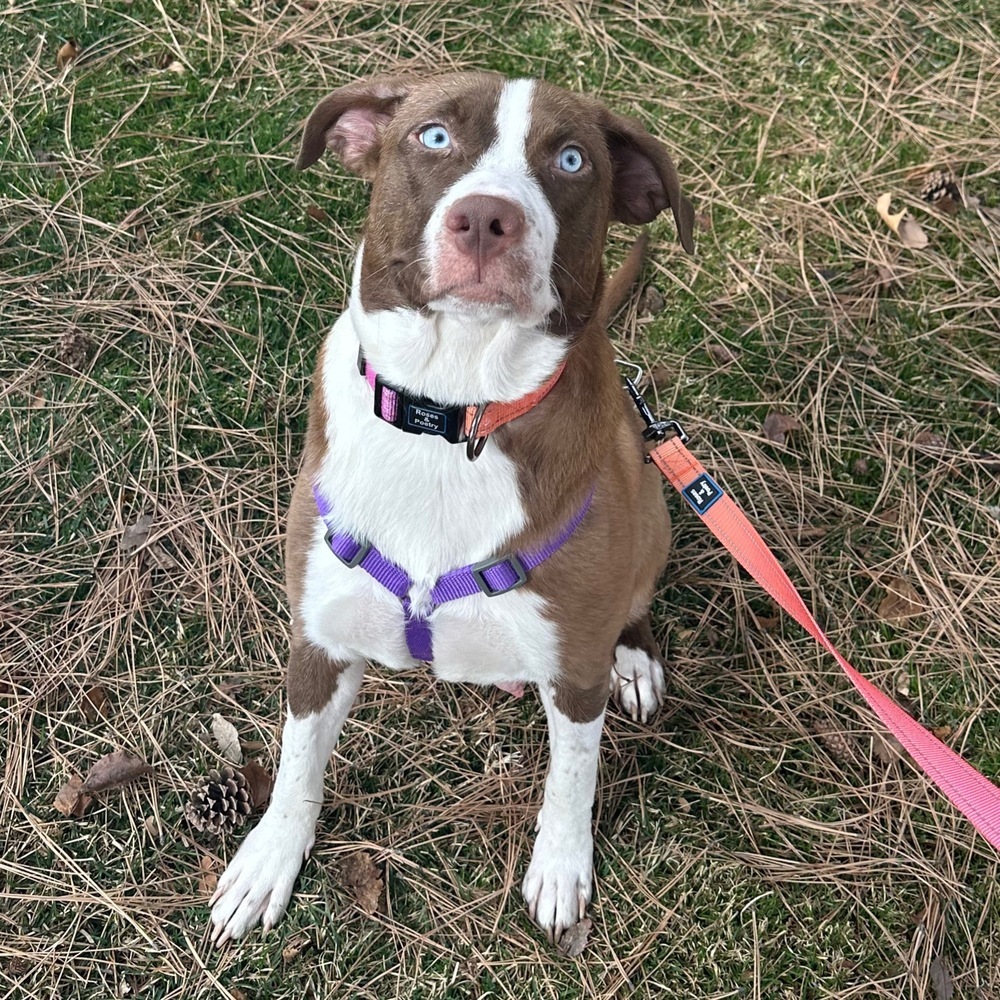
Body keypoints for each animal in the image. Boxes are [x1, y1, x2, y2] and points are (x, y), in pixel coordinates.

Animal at [209, 70, 696, 944]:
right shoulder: (318, 641)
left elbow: (571, 780)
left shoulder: (574, 670)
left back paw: (636, 659)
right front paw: (268, 860)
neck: (455, 407)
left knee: (637, 597)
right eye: (433, 136)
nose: (486, 219)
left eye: (571, 159)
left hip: (653, 510)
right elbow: (297, 764)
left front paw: (560, 870)